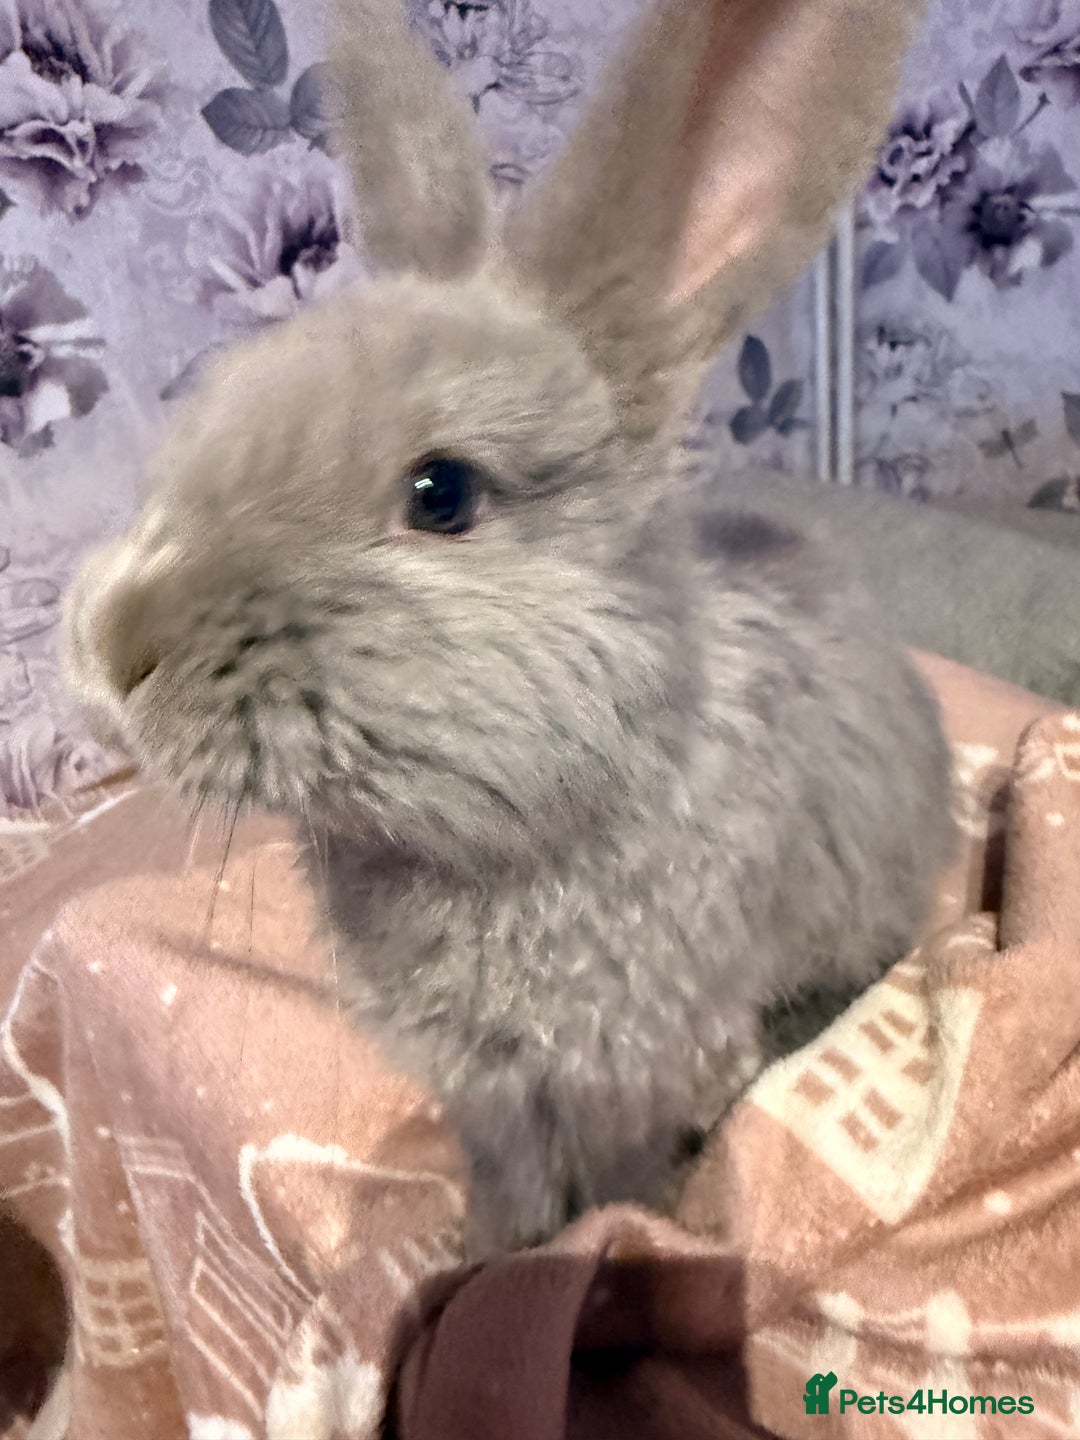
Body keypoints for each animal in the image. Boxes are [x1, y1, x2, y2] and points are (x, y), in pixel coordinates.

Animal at [62, 0, 953, 1258]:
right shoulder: (488, 1091)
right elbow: (511, 1177)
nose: (115, 647)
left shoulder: (633, 1068)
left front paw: (609, 1242)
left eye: (442, 494)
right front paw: (479, 1253)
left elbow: (624, 1175)